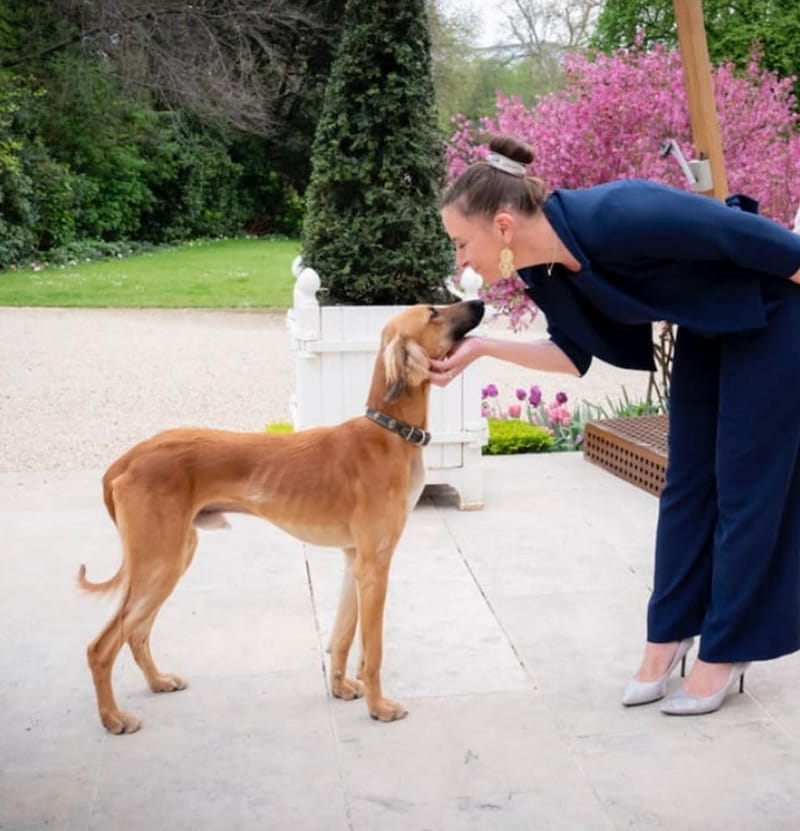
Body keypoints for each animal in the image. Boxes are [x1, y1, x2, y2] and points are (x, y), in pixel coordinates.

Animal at [81, 300, 484, 736]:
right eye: (433, 313)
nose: (481, 303)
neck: (389, 432)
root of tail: (126, 459)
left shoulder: (354, 560)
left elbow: (342, 635)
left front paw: (340, 687)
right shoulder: (376, 565)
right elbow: (372, 651)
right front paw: (378, 708)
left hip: (174, 556)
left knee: (136, 634)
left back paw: (157, 681)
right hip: (160, 562)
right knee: (101, 646)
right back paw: (112, 717)